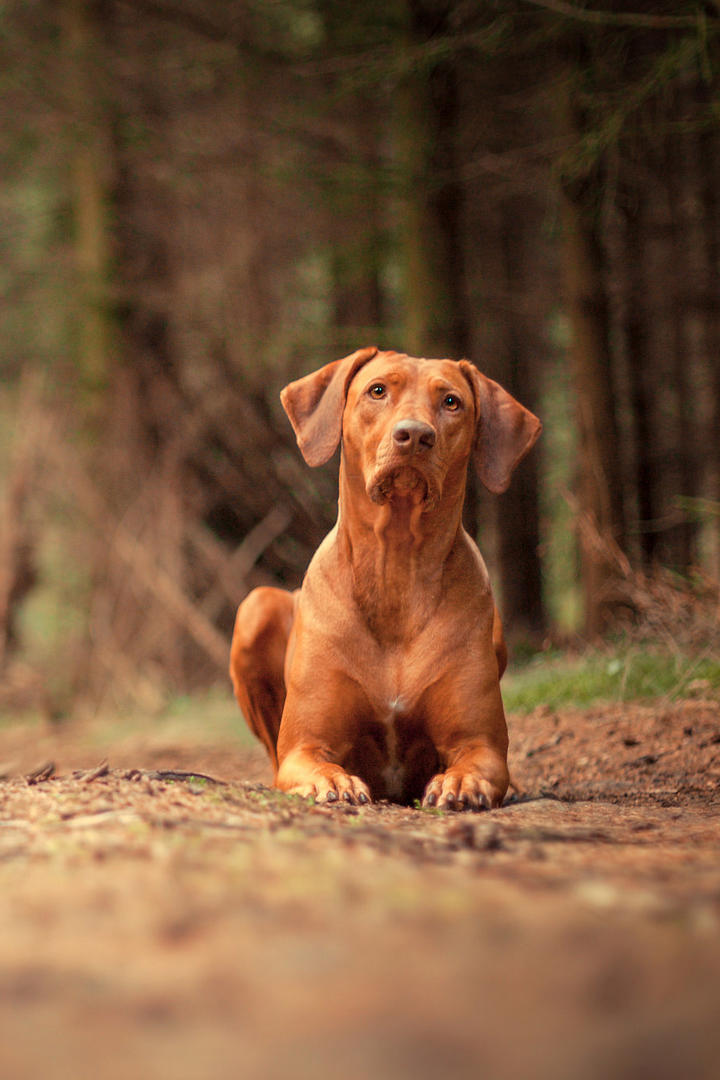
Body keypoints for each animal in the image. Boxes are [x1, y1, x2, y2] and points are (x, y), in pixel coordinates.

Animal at [231, 347, 539, 812]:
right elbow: (311, 760)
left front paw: (460, 783)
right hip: (256, 606)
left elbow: (479, 761)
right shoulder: (304, 747)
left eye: (451, 402)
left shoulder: (479, 743)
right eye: (377, 391)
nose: (414, 435)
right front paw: (334, 782)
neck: (396, 565)